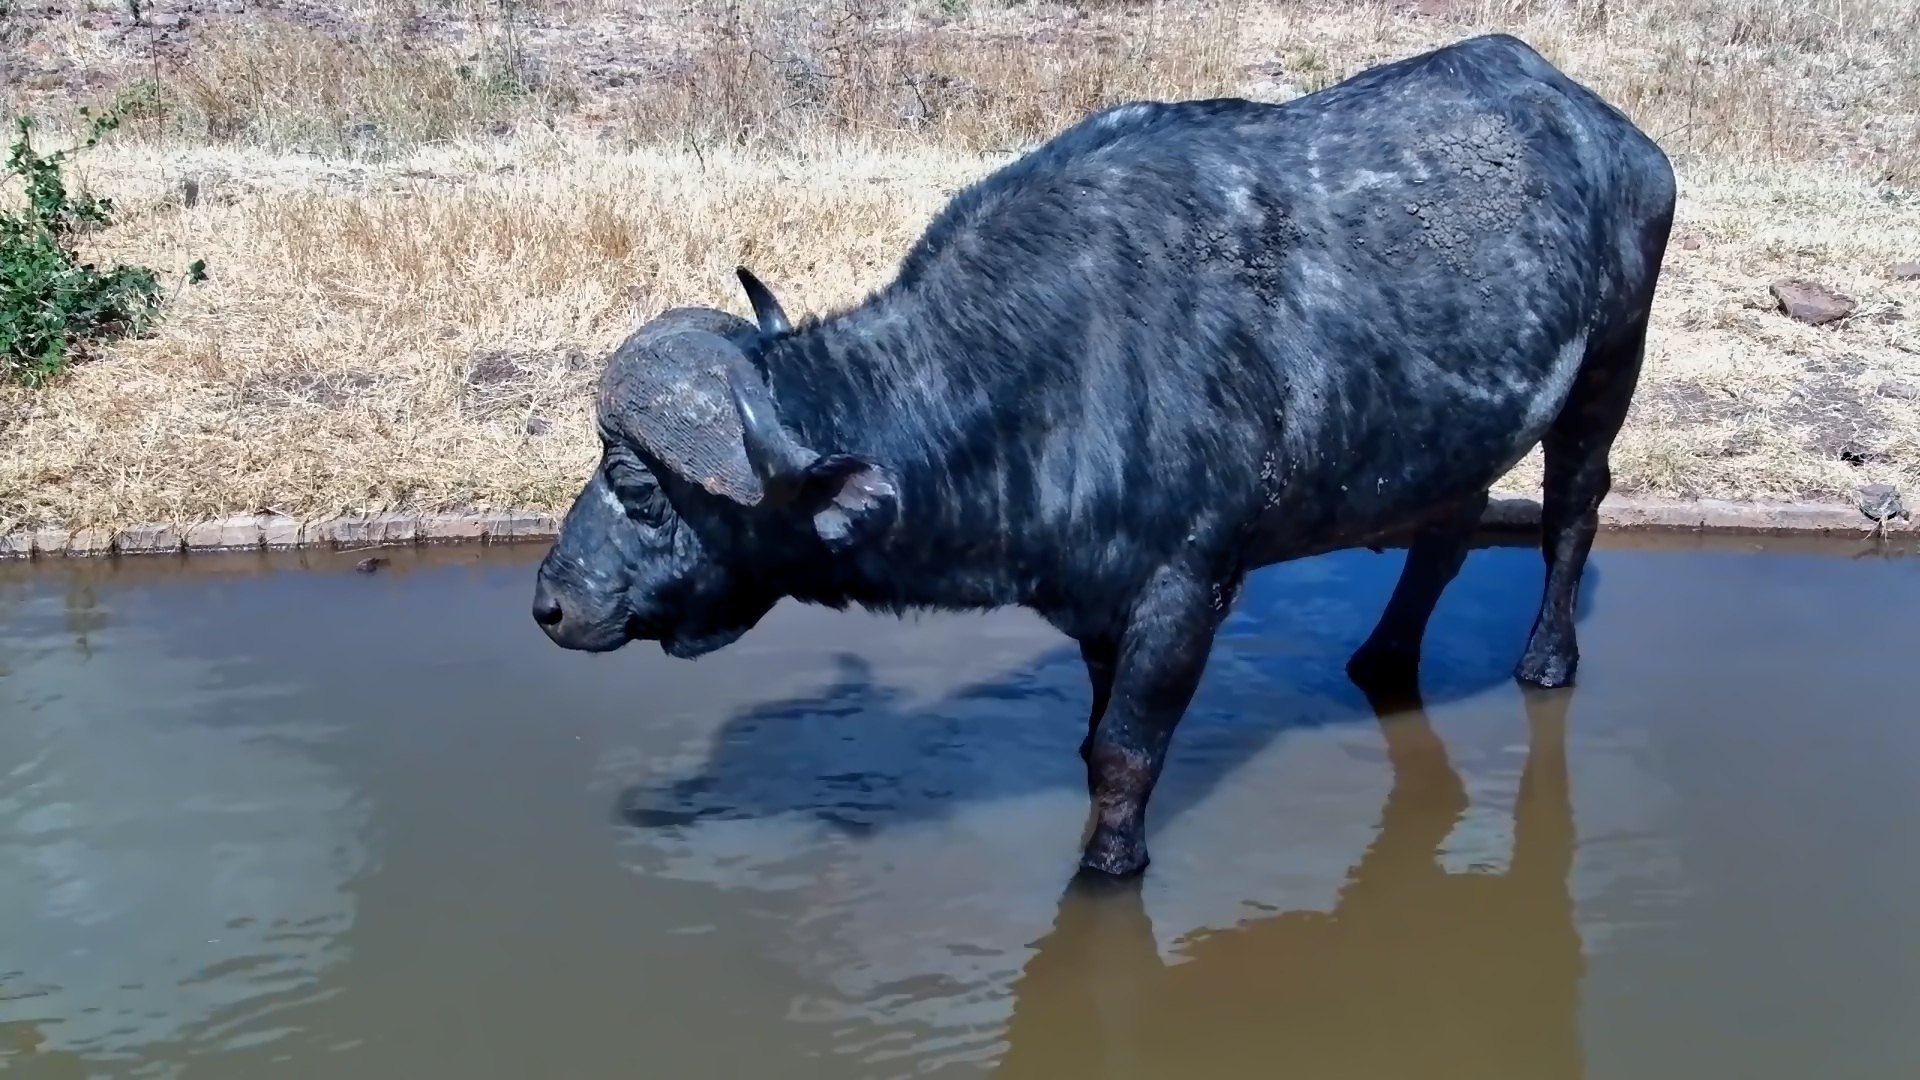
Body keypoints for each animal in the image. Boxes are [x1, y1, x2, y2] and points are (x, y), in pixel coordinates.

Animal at [530, 32, 1677, 880]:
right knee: (1442, 535)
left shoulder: (1186, 590)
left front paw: (1106, 868)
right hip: (1458, 432)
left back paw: (1547, 658)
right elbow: (1093, 734)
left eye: (635, 482)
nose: (548, 601)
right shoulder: (1092, 599)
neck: (1049, 360)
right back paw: (1384, 658)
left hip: (1609, 368)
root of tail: (1610, 130)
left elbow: (1128, 751)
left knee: (1573, 509)